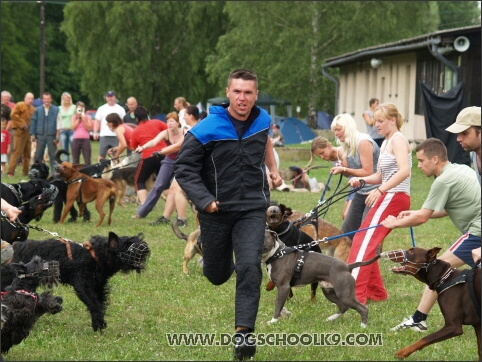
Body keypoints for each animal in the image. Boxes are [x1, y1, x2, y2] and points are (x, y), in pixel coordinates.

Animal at [12, 232, 151, 330]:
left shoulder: (99, 286)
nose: (145, 246)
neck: (96, 256)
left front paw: (100, 323)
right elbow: (93, 303)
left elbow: (100, 303)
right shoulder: (83, 284)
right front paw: (98, 325)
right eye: (128, 245)